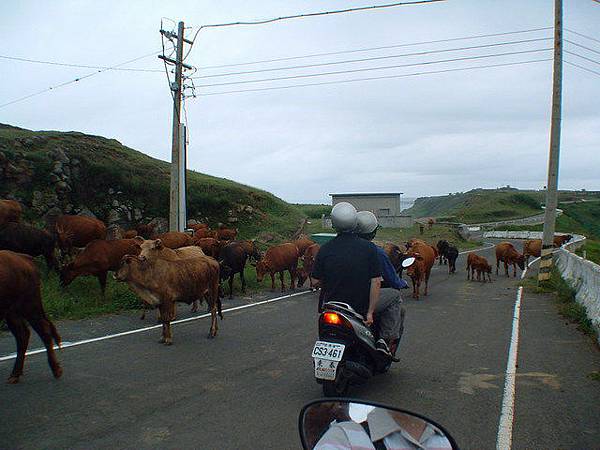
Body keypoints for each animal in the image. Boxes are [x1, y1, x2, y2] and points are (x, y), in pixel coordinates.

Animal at [0, 250, 62, 384]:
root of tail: (23, 257)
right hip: (13, 314)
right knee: (23, 335)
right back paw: (15, 375)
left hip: (29, 308)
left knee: (43, 330)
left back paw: (56, 371)